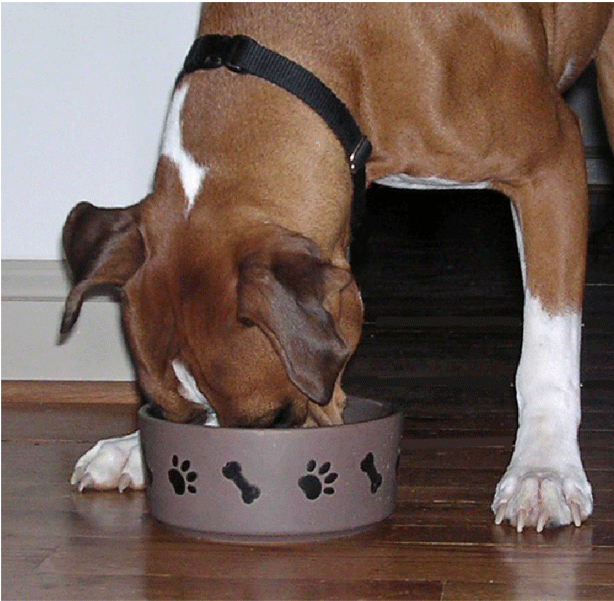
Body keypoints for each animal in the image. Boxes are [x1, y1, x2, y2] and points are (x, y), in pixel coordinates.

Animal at [60, 3, 612, 528]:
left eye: (275, 421)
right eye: (172, 415)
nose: (229, 466)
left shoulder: (549, 166)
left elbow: (547, 343)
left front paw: (544, 469)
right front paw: (135, 449)